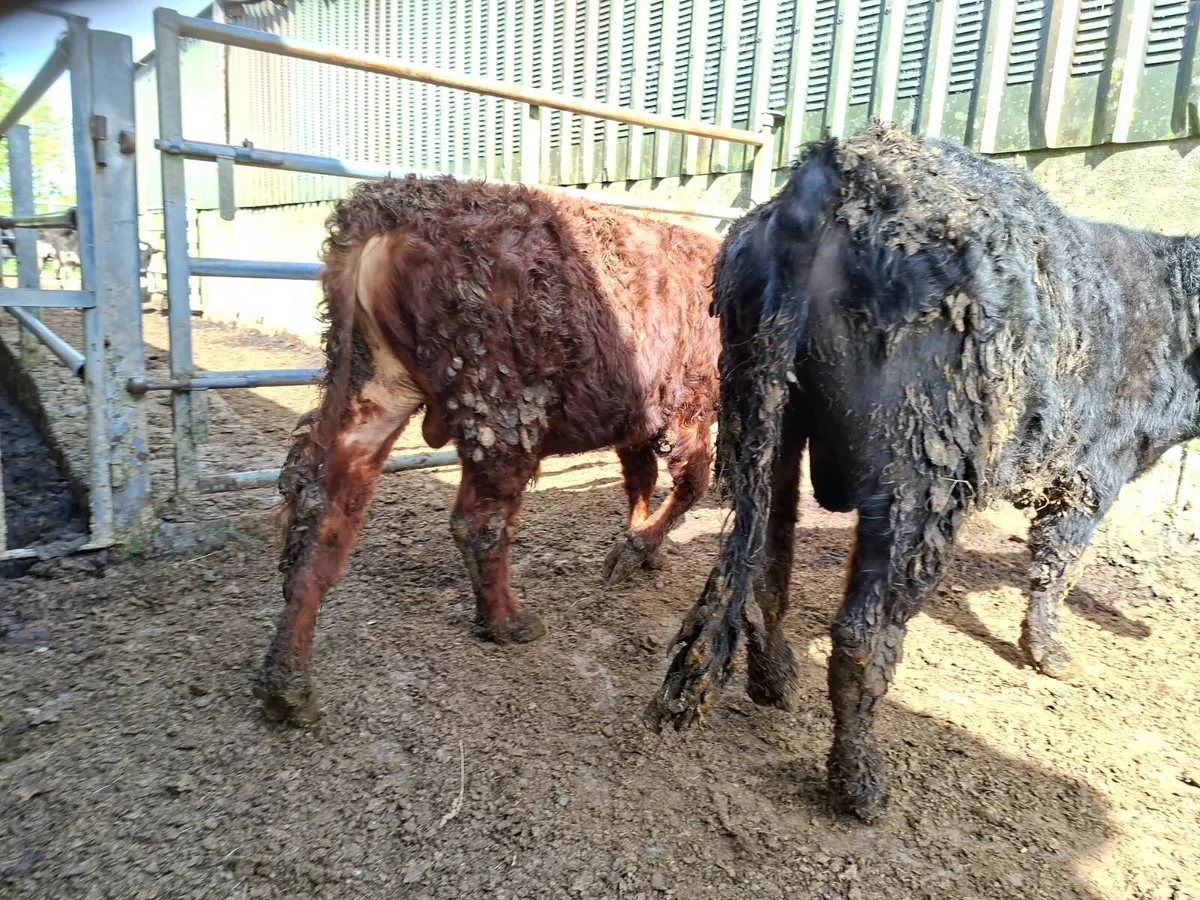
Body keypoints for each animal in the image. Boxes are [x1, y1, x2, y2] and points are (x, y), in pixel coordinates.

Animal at [254, 175, 722, 727]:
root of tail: (388, 211)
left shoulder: (637, 420)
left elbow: (640, 481)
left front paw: (640, 547)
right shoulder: (690, 406)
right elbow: (690, 482)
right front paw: (635, 551)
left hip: (374, 386)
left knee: (320, 509)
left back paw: (286, 684)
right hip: (501, 413)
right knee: (480, 522)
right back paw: (508, 622)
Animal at [645, 122, 1200, 823]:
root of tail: (836, 168)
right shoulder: (1092, 477)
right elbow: (1058, 568)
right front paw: (1054, 657)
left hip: (760, 414)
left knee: (767, 559)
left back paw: (776, 681)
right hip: (922, 478)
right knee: (861, 629)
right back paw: (860, 786)